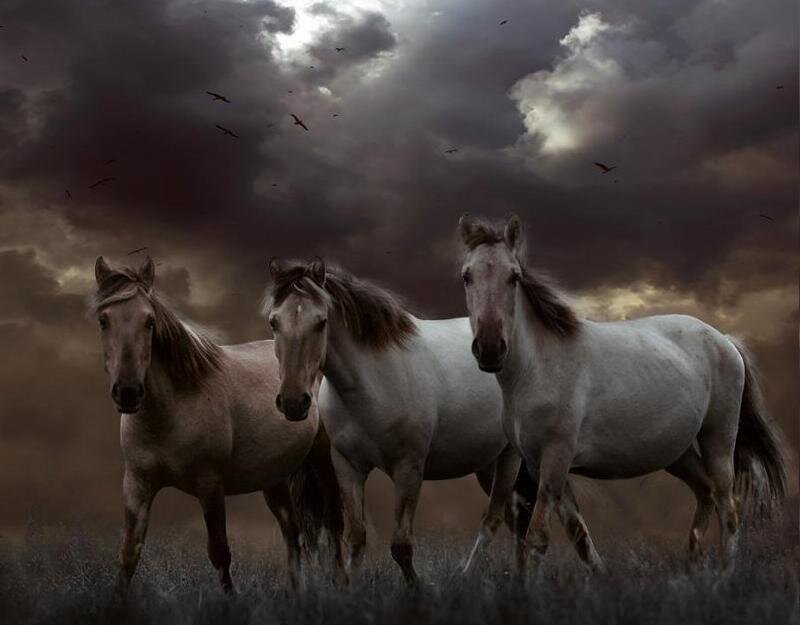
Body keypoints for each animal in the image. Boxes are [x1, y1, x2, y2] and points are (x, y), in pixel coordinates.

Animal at [90, 256, 343, 597]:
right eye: (104, 320)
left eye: (149, 322)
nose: (128, 392)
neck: (170, 411)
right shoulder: (137, 485)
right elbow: (129, 553)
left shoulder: (210, 486)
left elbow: (220, 551)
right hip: (274, 478)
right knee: (293, 532)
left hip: (321, 458)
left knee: (333, 520)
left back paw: (341, 583)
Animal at [262, 257, 603, 584]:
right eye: (274, 322)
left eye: (321, 322)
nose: (293, 402)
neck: (372, 380)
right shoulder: (348, 466)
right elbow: (356, 539)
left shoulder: (409, 468)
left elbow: (401, 545)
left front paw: (419, 589)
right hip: (492, 464)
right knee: (530, 518)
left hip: (511, 459)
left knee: (496, 519)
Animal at [457, 214, 788, 570]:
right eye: (467, 276)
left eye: (514, 277)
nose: (490, 348)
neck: (538, 367)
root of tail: (725, 340)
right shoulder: (538, 465)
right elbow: (579, 536)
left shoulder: (555, 461)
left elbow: (537, 539)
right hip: (678, 453)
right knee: (706, 493)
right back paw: (693, 567)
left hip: (719, 441)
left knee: (728, 507)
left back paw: (724, 572)